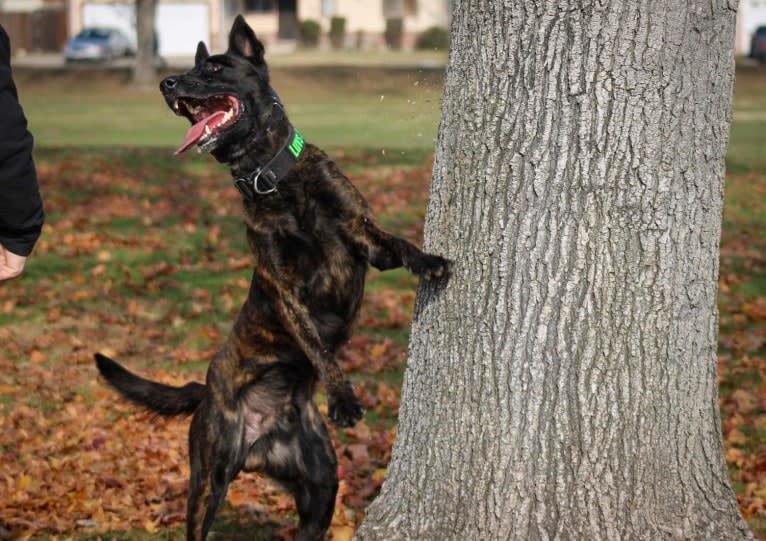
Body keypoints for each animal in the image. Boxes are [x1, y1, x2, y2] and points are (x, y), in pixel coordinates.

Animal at [99, 14, 452, 540]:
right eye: (191, 69)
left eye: (214, 68)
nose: (167, 83)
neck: (273, 177)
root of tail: (259, 440)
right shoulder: (286, 289)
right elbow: (318, 346)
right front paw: (343, 398)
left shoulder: (363, 236)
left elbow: (401, 246)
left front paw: (429, 261)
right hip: (208, 480)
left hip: (322, 489)